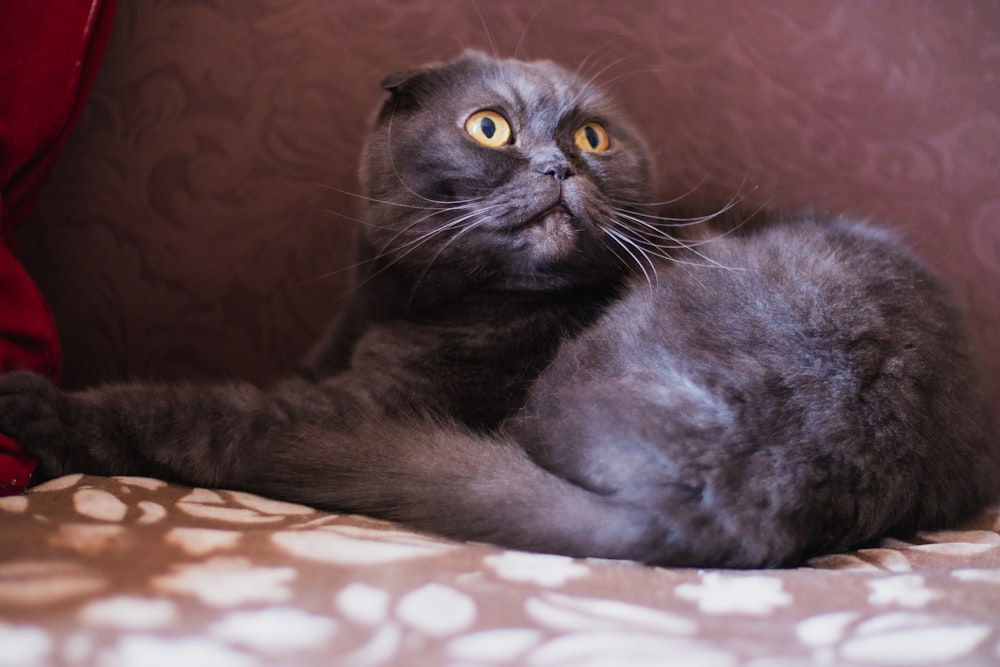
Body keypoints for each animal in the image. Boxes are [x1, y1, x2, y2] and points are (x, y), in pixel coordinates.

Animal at [3, 49, 996, 568]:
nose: (561, 167)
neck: (394, 302)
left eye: (592, 134)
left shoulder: (348, 404)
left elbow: (187, 412)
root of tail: (751, 507)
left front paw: (36, 405)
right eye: (490, 126)